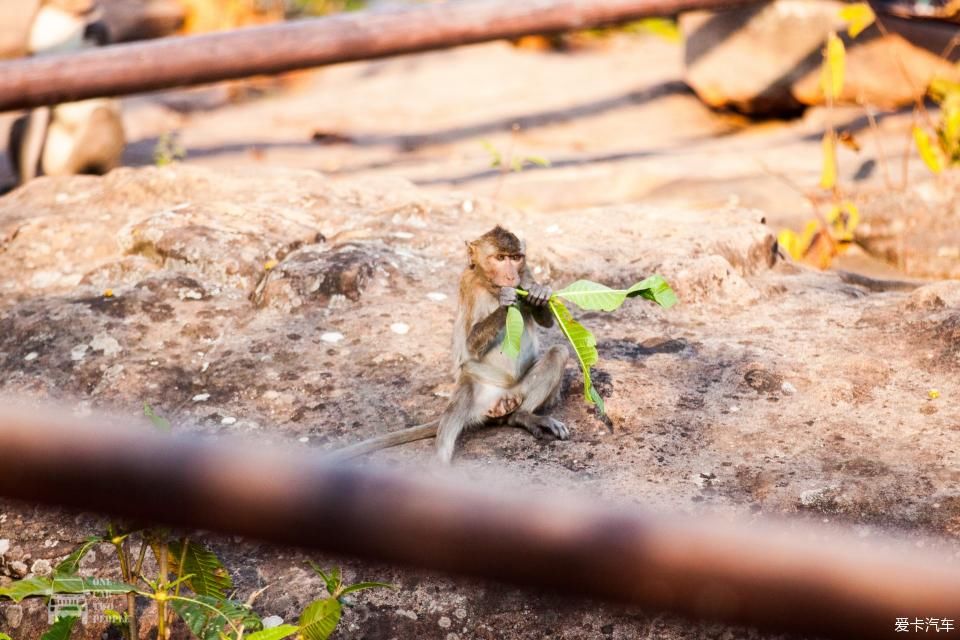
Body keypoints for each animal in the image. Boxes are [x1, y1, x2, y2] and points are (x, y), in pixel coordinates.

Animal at [332, 228, 568, 462]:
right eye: (500, 258)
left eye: (516, 258)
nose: (511, 277)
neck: (491, 286)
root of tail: (502, 400)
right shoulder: (468, 285)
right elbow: (469, 344)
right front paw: (505, 302)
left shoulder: (525, 273)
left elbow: (546, 322)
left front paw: (539, 293)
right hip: (475, 387)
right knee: (458, 403)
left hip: (519, 392)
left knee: (559, 352)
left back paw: (524, 416)